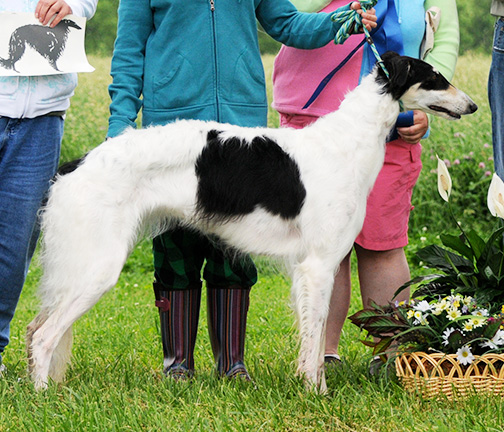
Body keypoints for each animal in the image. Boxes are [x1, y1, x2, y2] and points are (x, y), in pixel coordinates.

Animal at [25, 51, 478, 392]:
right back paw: (45, 396)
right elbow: (314, 343)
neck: (348, 141)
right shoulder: (318, 266)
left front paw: (312, 386)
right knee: (44, 337)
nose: (472, 105)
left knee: (34, 328)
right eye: (436, 78)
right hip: (97, 267)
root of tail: (75, 164)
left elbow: (313, 341)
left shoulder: (319, 267)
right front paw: (317, 393)